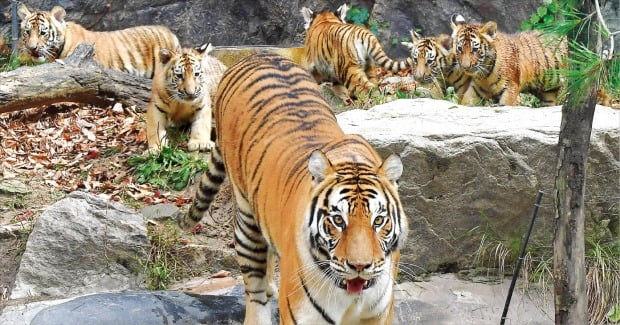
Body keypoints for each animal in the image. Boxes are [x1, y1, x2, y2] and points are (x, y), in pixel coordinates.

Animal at [182, 52, 410, 322]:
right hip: (246, 217)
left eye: (378, 221)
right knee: (254, 286)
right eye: (338, 220)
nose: (359, 267)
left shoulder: (379, 314)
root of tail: (258, 54)